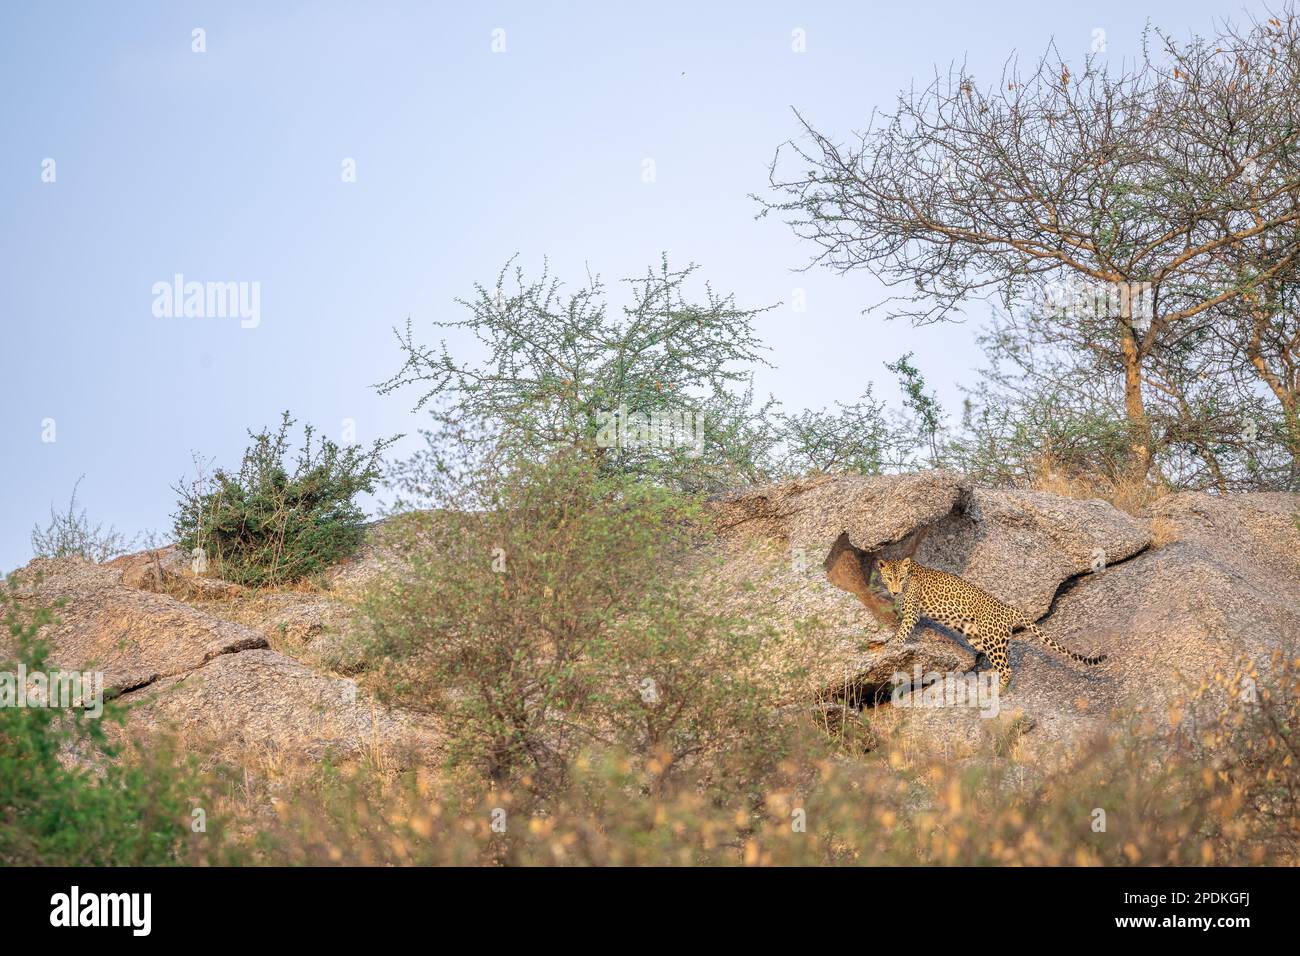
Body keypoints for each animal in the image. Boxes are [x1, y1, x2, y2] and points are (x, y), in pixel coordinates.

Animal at [873, 556, 1107, 691]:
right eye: (889, 578)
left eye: (901, 578)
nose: (895, 591)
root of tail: (1009, 608)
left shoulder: (912, 613)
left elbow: (903, 630)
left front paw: (894, 644)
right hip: (978, 636)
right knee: (1006, 659)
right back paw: (990, 675)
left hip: (991, 638)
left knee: (1007, 669)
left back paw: (998, 692)